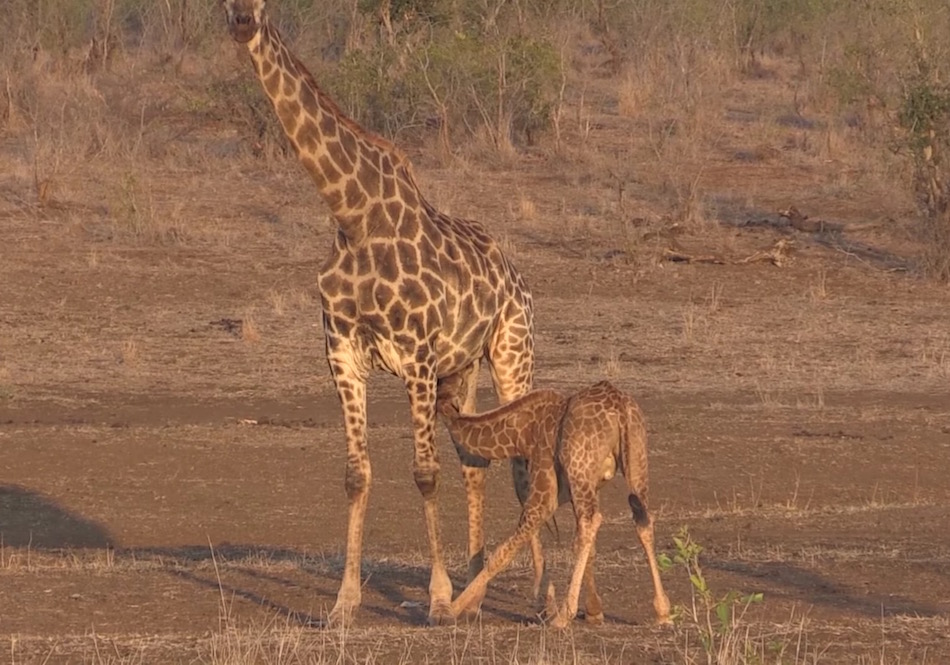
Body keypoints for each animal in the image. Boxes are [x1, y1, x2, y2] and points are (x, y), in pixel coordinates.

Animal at [436, 378, 668, 628]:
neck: (521, 434)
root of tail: (620, 408)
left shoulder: (544, 489)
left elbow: (504, 551)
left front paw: (451, 609)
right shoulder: (586, 488)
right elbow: (587, 546)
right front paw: (595, 611)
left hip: (582, 468)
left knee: (593, 521)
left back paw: (563, 616)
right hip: (635, 459)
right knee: (641, 520)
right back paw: (663, 611)